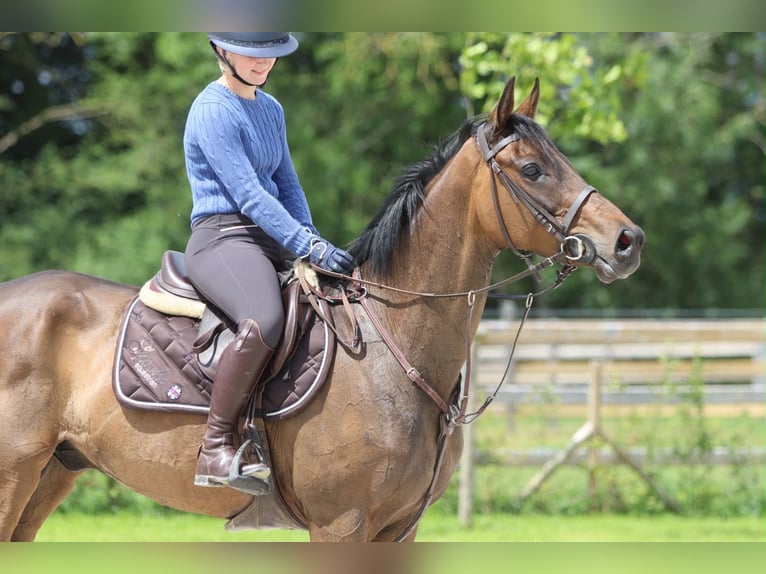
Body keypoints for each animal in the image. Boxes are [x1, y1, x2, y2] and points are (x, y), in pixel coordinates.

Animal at [0, 77, 644, 541]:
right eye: (533, 169)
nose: (627, 241)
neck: (393, 348)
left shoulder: (395, 530)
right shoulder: (343, 525)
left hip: (51, 475)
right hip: (15, 476)